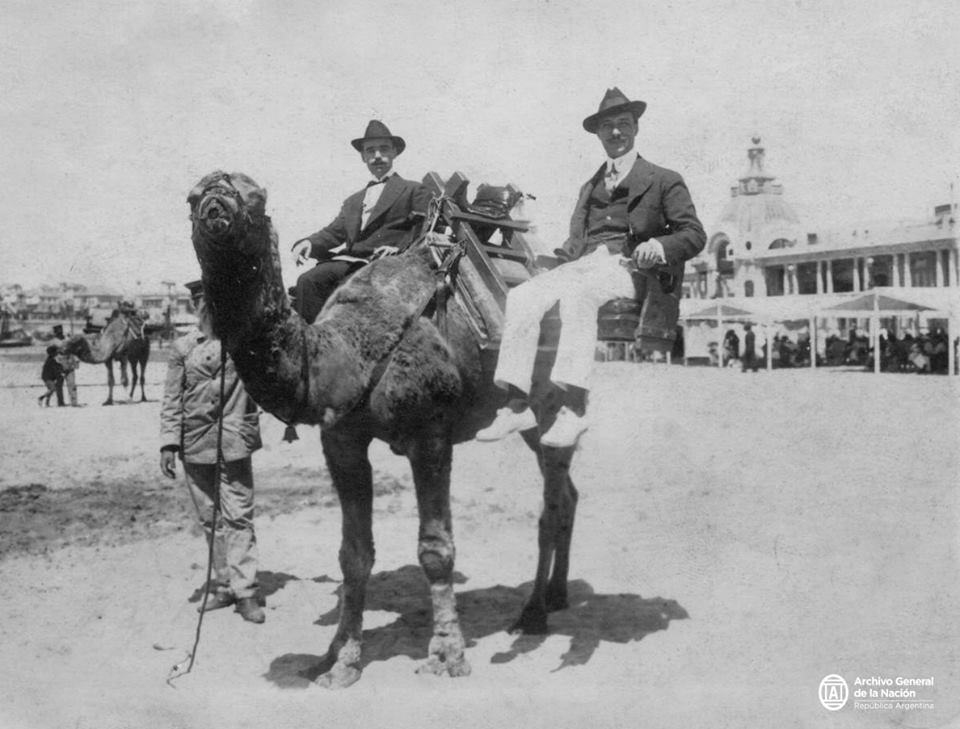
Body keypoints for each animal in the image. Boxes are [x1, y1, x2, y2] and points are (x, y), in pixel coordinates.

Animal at [186, 171, 576, 688]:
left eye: (255, 196)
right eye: (191, 197)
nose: (215, 200)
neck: (349, 349)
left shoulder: (431, 434)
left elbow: (435, 548)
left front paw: (447, 655)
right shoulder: (342, 440)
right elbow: (353, 554)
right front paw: (339, 660)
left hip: (556, 397)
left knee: (552, 501)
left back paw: (533, 613)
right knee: (567, 492)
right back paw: (556, 596)